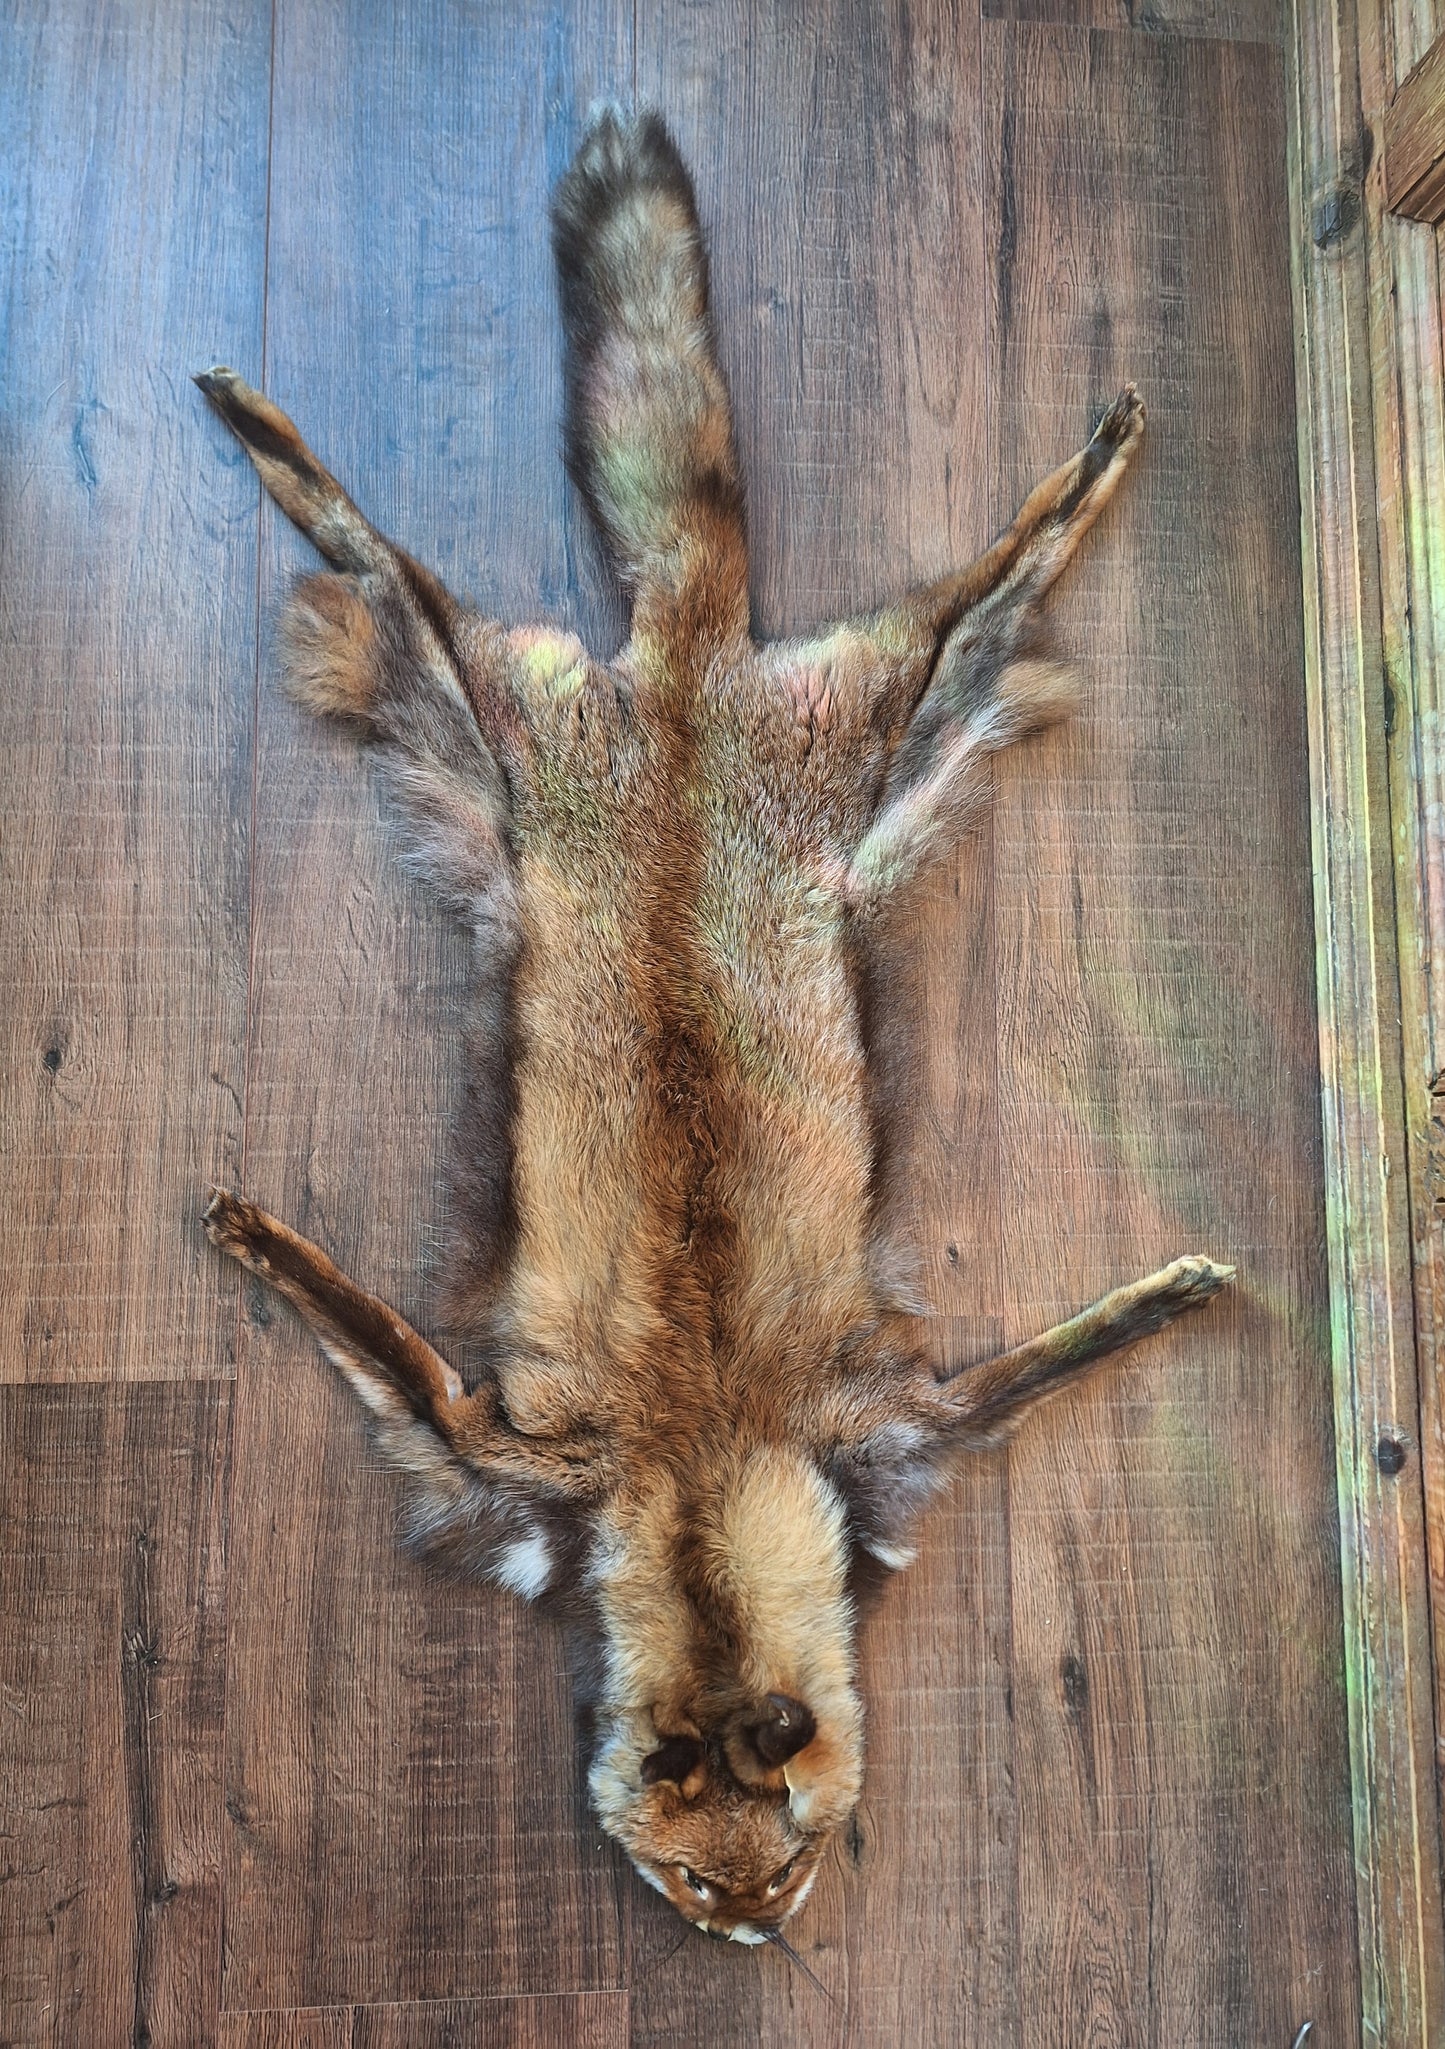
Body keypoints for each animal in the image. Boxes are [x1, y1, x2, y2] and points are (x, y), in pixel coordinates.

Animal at [197, 107, 1232, 1947]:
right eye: (691, 1881)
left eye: (796, 1855)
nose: (753, 1940)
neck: (701, 1449)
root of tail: (683, 693)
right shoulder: (511, 1452)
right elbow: (362, 1321)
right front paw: (262, 1237)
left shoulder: (888, 1427)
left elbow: (1055, 1353)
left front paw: (1165, 1292)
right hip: (493, 730)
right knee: (379, 557)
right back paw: (272, 436)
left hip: (882, 736)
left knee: (996, 581)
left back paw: (1089, 460)